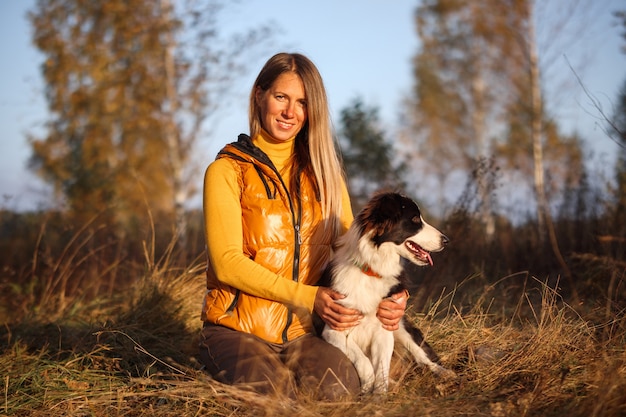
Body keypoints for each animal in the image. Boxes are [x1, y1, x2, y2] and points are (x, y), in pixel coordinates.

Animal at [320, 192, 456, 394]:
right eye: (415, 219)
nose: (446, 240)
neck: (370, 271)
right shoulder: (333, 329)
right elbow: (363, 360)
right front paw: (367, 385)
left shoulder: (384, 329)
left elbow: (381, 370)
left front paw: (379, 396)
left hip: (400, 327)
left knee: (423, 357)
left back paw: (445, 373)